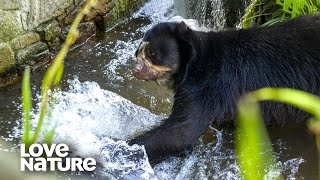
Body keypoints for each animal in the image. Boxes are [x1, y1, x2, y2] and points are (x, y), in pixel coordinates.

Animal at [129, 14, 320, 164]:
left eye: (152, 53)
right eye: (138, 52)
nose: (135, 69)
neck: (192, 62)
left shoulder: (207, 85)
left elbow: (180, 132)